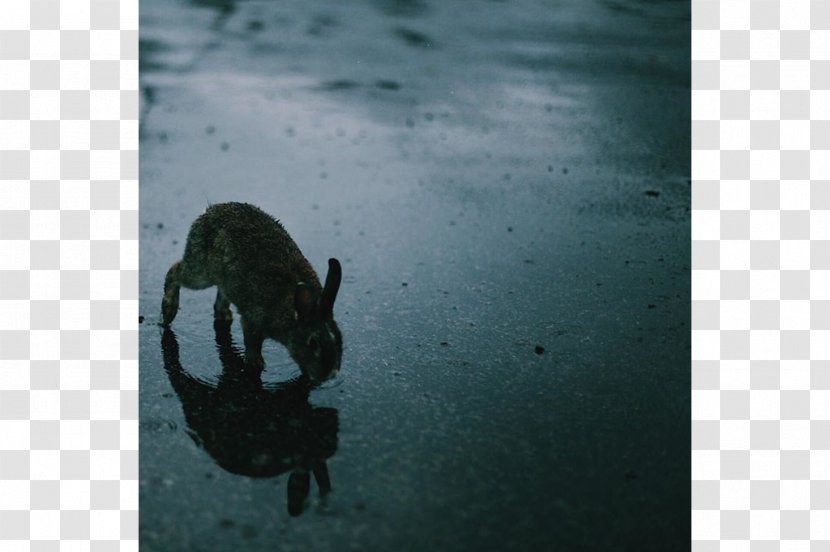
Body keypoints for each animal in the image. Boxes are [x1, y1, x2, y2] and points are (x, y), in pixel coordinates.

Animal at [161, 203, 342, 384]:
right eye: (313, 343)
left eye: (339, 338)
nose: (331, 375)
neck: (292, 314)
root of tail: (209, 211)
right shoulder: (253, 319)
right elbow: (252, 342)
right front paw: (255, 363)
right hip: (201, 273)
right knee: (175, 272)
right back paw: (168, 311)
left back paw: (224, 315)